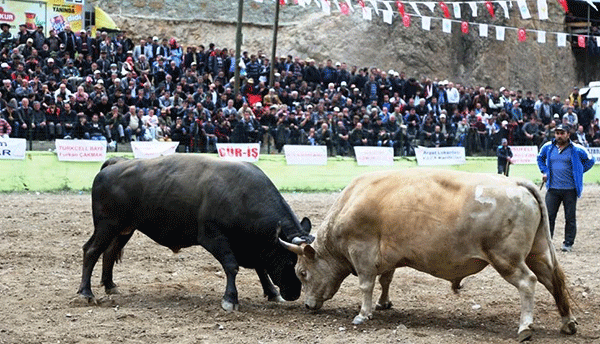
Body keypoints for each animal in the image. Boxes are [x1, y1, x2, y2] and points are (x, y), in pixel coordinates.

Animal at [77, 155, 314, 310]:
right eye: (292, 263)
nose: (294, 293)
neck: (241, 195)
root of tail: (116, 163)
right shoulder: (213, 237)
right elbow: (232, 266)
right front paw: (230, 299)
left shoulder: (252, 244)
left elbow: (260, 268)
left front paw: (272, 293)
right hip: (107, 225)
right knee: (91, 251)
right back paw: (86, 293)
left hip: (124, 229)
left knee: (108, 252)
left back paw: (110, 286)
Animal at [284, 169, 580, 342]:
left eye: (302, 272)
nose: (308, 305)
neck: (351, 202)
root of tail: (517, 182)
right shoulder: (386, 256)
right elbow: (385, 280)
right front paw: (383, 303)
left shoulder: (362, 252)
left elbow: (366, 284)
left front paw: (363, 313)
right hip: (538, 254)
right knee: (553, 281)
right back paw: (567, 322)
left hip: (507, 259)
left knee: (528, 283)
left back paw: (525, 327)